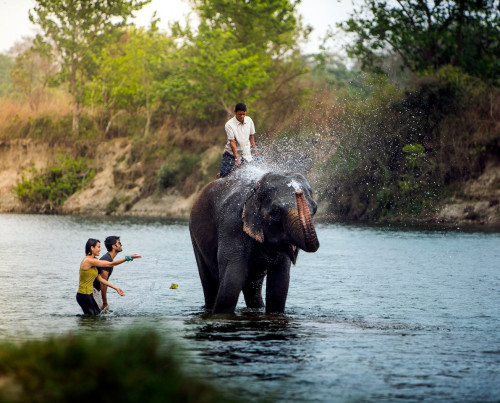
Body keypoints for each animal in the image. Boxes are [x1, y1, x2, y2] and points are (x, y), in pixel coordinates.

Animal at [189, 167, 318, 316]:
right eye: (275, 211)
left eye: (315, 209)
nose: (298, 191)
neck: (255, 192)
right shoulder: (232, 225)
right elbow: (232, 279)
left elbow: (280, 283)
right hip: (194, 237)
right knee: (209, 282)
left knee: (253, 287)